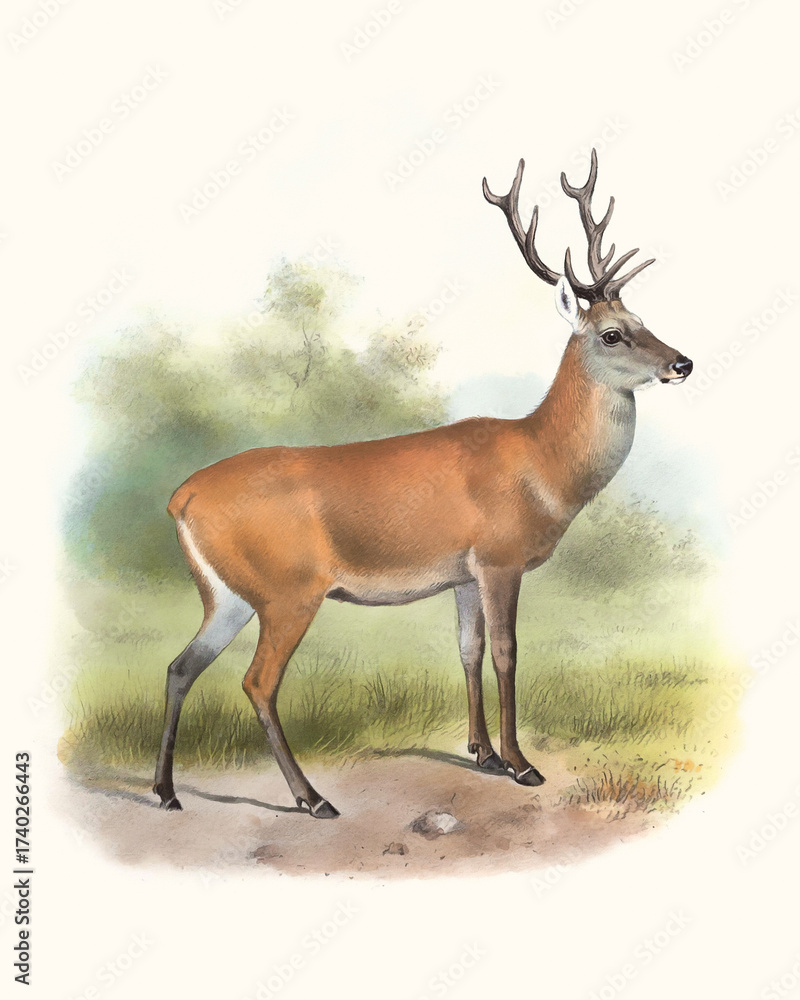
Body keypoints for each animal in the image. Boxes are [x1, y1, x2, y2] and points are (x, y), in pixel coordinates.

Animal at [153, 149, 692, 818]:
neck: (542, 466)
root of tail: (181, 497)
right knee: (257, 682)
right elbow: (508, 652)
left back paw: (166, 791)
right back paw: (312, 798)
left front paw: (482, 753)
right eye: (612, 332)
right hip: (287, 590)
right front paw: (520, 764)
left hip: (226, 594)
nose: (682, 362)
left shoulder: (460, 574)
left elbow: (468, 649)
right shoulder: (499, 558)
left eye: (644, 317)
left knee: (180, 666)